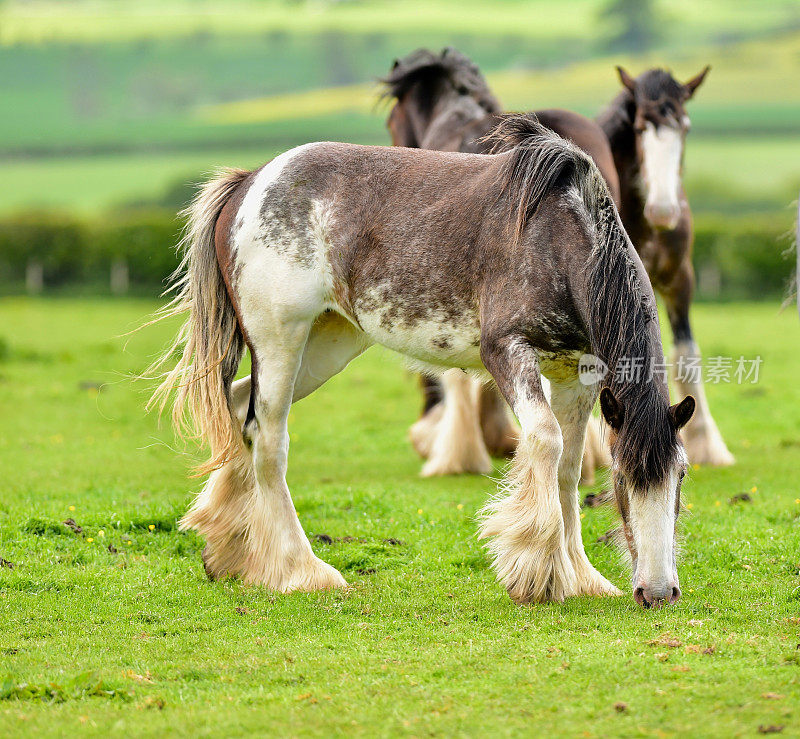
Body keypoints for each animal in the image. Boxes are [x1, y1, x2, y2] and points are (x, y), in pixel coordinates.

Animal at [150, 117, 692, 612]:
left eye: (681, 475)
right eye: (622, 479)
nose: (658, 593)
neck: (559, 238)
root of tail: (250, 181)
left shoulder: (578, 373)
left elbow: (569, 469)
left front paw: (581, 577)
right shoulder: (506, 352)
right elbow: (545, 442)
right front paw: (538, 575)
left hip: (326, 346)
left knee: (239, 408)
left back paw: (230, 552)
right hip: (280, 341)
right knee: (268, 441)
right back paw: (303, 571)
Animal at [596, 66, 736, 466]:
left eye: (685, 127)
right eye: (641, 128)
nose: (663, 211)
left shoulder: (679, 280)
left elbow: (686, 354)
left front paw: (707, 444)